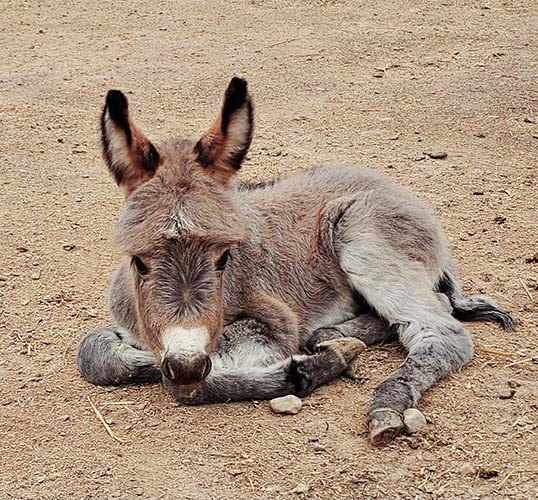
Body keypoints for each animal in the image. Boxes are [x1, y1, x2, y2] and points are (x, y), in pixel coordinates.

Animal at [77, 77, 512, 446]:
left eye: (224, 258)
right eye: (139, 262)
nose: (185, 363)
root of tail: (392, 187)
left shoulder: (272, 324)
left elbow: (188, 380)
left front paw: (305, 370)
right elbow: (93, 353)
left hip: (361, 236)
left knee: (442, 330)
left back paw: (384, 403)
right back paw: (331, 337)